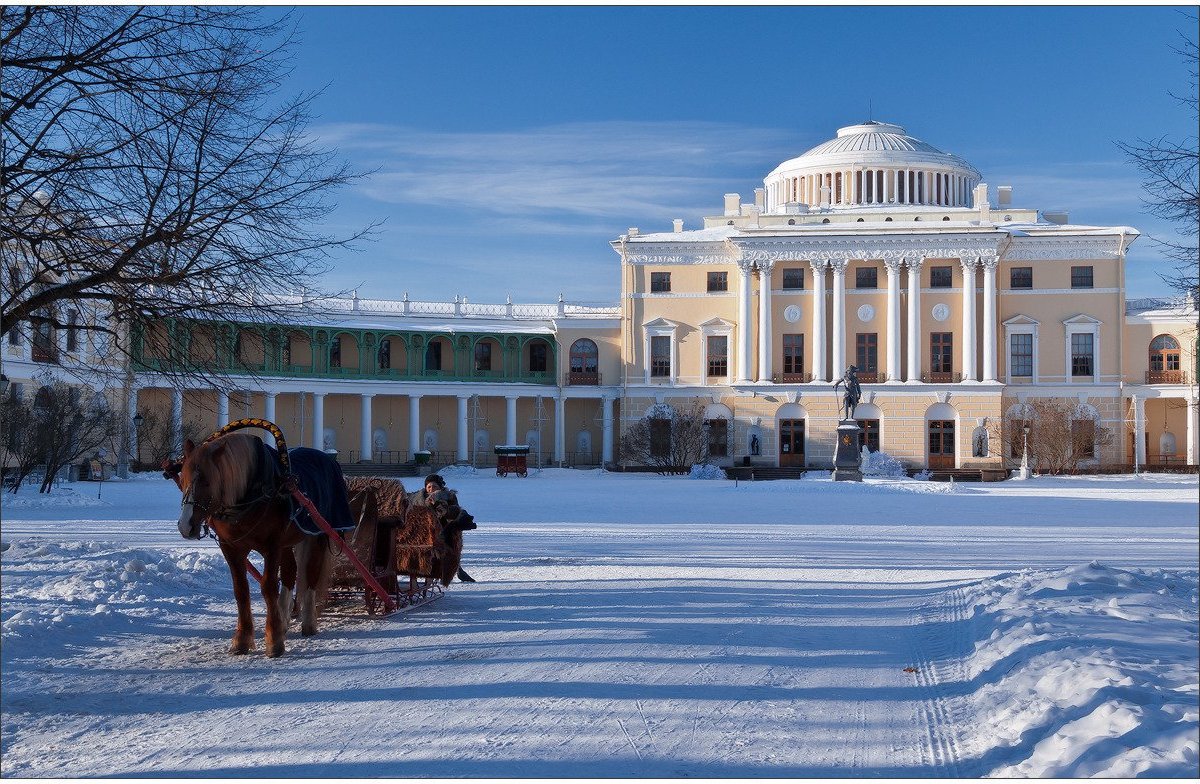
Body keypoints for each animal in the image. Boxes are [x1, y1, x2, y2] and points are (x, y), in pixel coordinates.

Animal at [174, 432, 336, 657]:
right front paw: (243, 640)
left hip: (317, 534)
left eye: (207, 481)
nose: (185, 525)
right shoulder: (231, 548)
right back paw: (284, 619)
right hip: (287, 543)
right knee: (289, 572)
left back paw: (308, 622)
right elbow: (241, 590)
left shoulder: (272, 546)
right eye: (183, 478)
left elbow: (268, 587)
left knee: (312, 572)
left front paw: (274, 641)